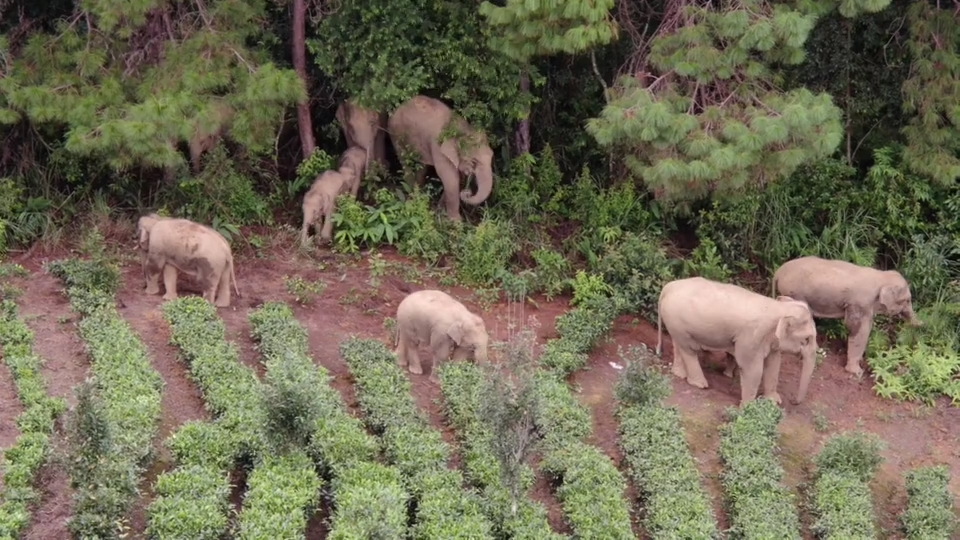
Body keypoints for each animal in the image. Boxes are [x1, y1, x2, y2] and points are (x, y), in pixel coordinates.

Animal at [656, 278, 820, 404]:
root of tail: (668, 287)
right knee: (689, 350)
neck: (778, 307)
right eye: (806, 339)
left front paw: (774, 401)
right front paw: (748, 407)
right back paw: (700, 384)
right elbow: (753, 369)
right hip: (677, 319)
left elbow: (774, 364)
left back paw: (679, 374)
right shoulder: (751, 336)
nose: (793, 401)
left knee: (678, 344)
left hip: (674, 321)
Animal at [768, 256, 920, 376]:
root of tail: (778, 272)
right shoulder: (860, 303)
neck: (881, 276)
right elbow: (858, 328)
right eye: (907, 300)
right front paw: (857, 372)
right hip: (795, 292)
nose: (921, 324)